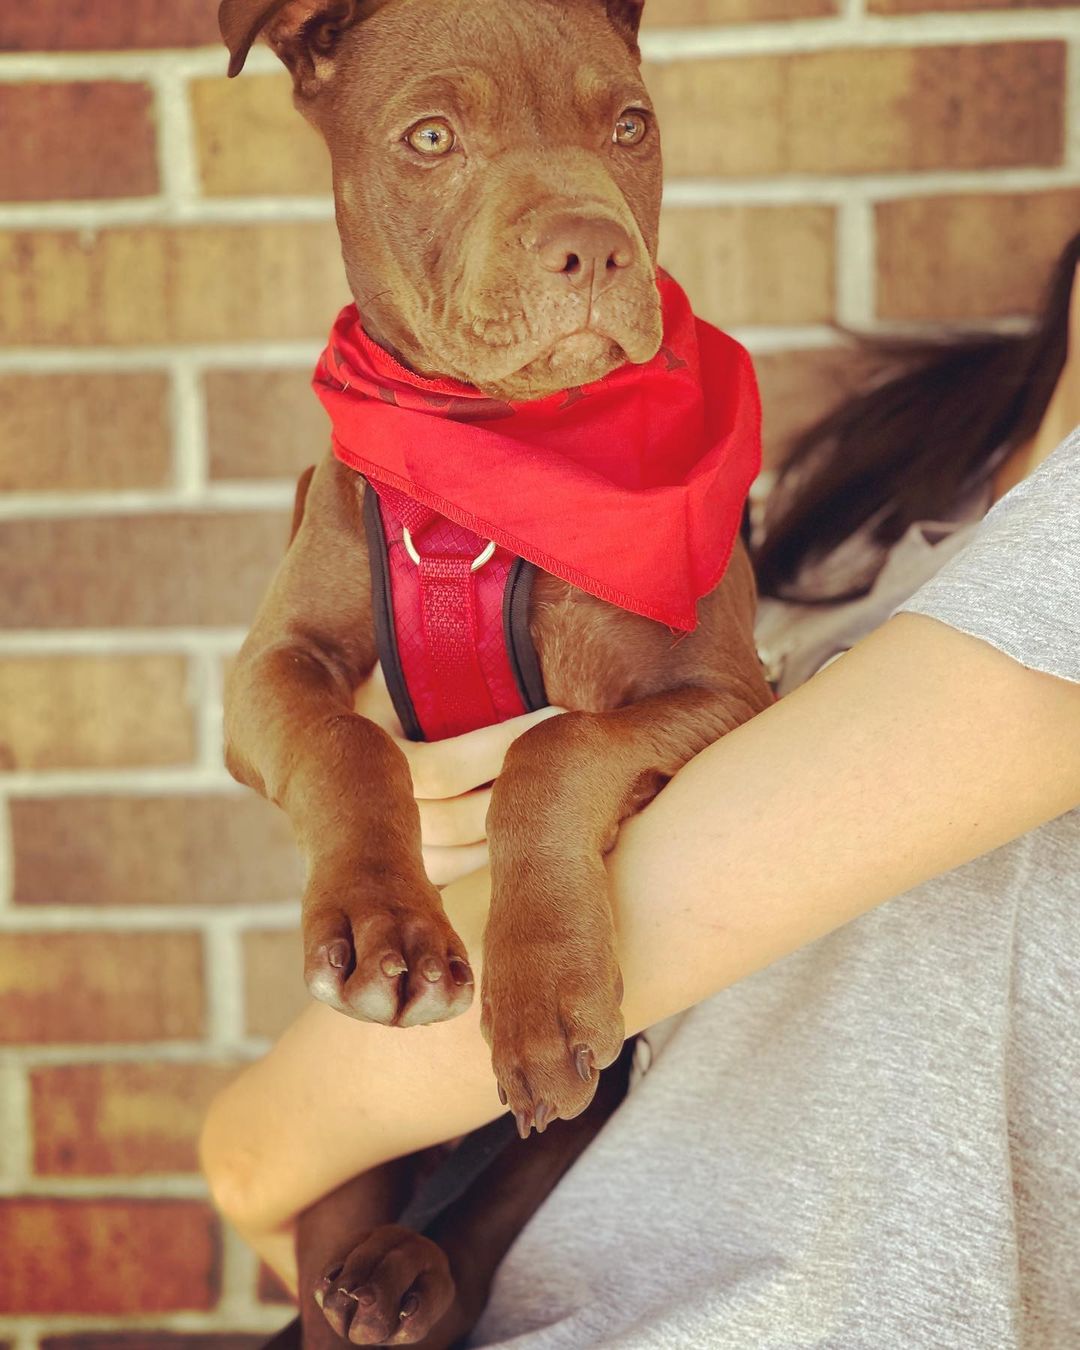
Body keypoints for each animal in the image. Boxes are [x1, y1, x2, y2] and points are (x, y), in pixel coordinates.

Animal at [217, 0, 766, 1139]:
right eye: (431, 137)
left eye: (631, 127)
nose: (594, 247)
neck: (480, 460)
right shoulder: (271, 666)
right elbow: (346, 745)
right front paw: (385, 928)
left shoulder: (729, 692)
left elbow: (553, 750)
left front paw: (543, 995)